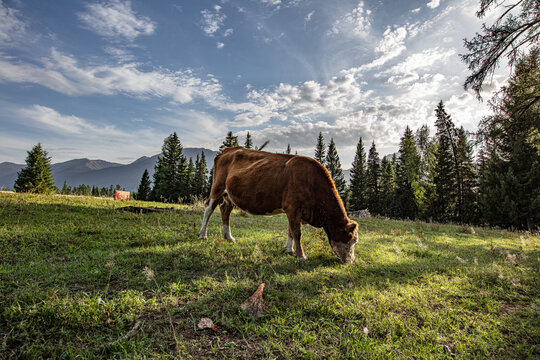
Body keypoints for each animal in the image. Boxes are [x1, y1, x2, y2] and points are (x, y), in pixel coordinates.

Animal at [198, 146, 358, 262]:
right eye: (350, 239)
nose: (351, 261)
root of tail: (228, 149)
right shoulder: (293, 208)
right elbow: (297, 232)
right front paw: (301, 256)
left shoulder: (294, 211)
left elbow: (290, 230)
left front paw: (289, 250)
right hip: (217, 186)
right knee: (209, 208)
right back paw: (202, 235)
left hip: (230, 194)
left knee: (225, 210)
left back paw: (229, 237)